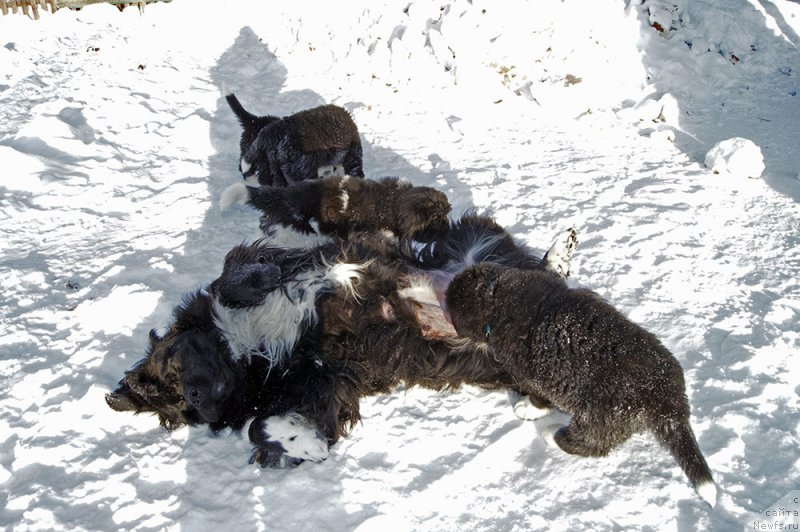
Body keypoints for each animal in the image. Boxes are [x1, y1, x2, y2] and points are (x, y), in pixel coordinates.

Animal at [444, 264, 720, 504]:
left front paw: (528, 407)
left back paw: (551, 433)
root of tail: (669, 402)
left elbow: (539, 397)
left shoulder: (530, 374)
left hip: (600, 418)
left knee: (587, 444)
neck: (495, 293)